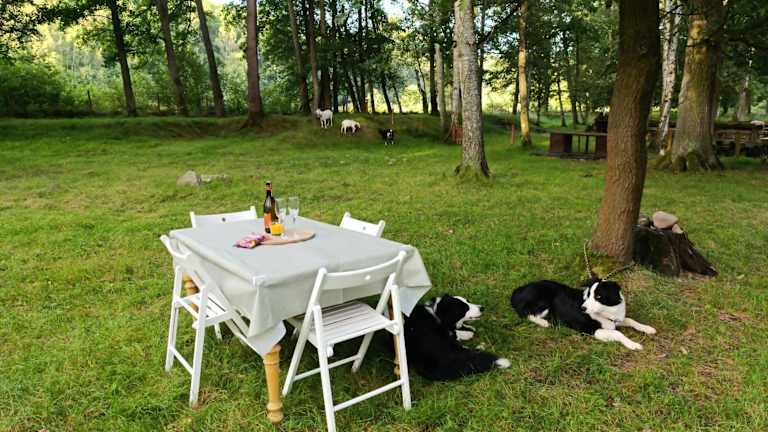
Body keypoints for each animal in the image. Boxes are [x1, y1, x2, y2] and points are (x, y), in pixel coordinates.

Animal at [510, 279, 656, 350]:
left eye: (598, 296)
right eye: (589, 295)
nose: (583, 308)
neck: (606, 312)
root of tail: (517, 290)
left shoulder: (615, 320)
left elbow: (631, 320)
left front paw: (648, 328)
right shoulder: (592, 330)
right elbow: (618, 333)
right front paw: (633, 345)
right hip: (544, 302)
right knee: (526, 313)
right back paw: (544, 322)